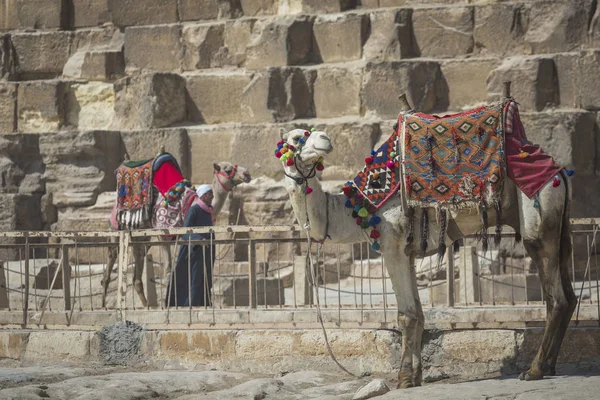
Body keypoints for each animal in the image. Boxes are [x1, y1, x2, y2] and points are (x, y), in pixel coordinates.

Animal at [102, 161, 252, 308]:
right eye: (227, 170)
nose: (247, 174)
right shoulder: (163, 233)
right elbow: (168, 271)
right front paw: (168, 305)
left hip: (142, 238)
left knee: (137, 267)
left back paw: (146, 305)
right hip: (116, 229)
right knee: (112, 257)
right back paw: (104, 305)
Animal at [278, 94, 576, 388]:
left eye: (308, 134)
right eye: (295, 137)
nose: (325, 139)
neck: (359, 208)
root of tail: (559, 172)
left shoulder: (393, 245)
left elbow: (406, 314)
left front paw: (403, 379)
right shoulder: (408, 250)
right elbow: (419, 315)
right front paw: (416, 375)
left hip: (539, 213)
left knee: (556, 298)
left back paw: (534, 369)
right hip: (559, 226)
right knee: (569, 296)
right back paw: (549, 365)